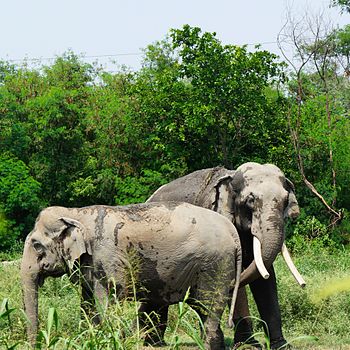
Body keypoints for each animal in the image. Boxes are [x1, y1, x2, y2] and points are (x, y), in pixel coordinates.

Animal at [20, 201, 242, 348]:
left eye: (37, 245)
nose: (37, 344)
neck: (76, 213)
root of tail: (233, 232)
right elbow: (87, 301)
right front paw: (89, 340)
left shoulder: (107, 258)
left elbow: (106, 300)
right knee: (203, 310)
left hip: (215, 265)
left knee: (209, 308)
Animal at [146, 162, 304, 350]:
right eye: (251, 200)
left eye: (286, 201)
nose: (304, 285)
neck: (231, 176)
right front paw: (248, 345)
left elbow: (264, 277)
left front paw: (281, 346)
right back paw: (155, 343)